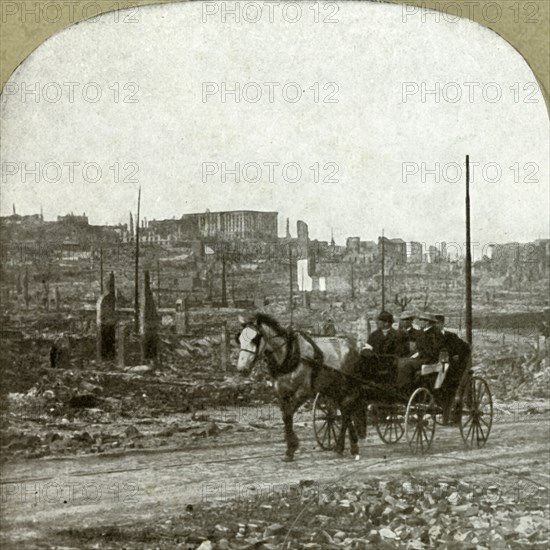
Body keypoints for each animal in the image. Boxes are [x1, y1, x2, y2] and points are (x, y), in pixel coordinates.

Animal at [235, 314, 364, 462]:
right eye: (239, 339)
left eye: (255, 339)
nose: (242, 369)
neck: (289, 354)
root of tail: (353, 346)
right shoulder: (281, 392)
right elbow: (286, 416)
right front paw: (290, 450)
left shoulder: (303, 391)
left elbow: (289, 414)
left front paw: (292, 446)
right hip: (334, 389)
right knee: (345, 412)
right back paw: (351, 446)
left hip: (348, 387)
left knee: (346, 412)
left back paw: (340, 447)